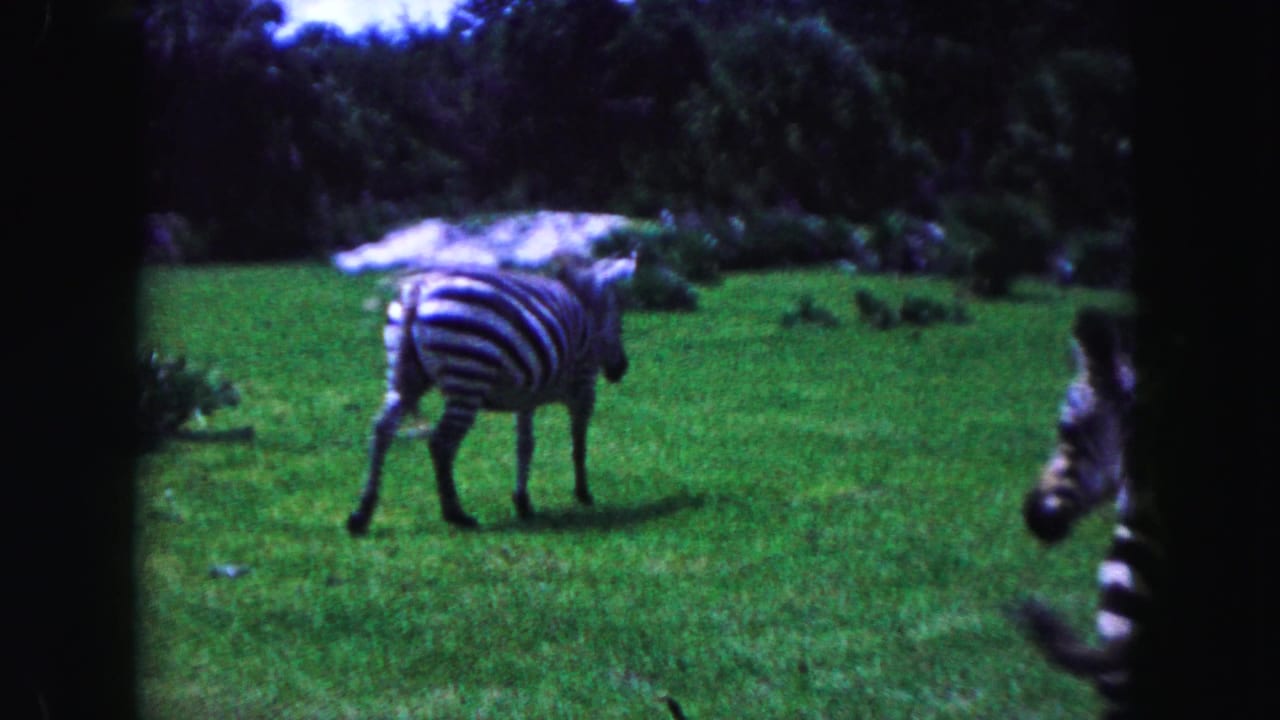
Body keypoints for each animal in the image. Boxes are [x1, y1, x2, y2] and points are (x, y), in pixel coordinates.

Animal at [346, 253, 636, 534]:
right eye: (620, 317)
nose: (620, 369)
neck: (585, 307)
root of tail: (417, 292)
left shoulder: (526, 395)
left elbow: (525, 444)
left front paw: (523, 502)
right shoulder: (584, 385)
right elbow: (578, 444)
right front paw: (583, 494)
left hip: (405, 379)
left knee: (382, 430)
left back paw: (362, 515)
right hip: (468, 376)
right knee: (441, 443)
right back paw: (455, 514)